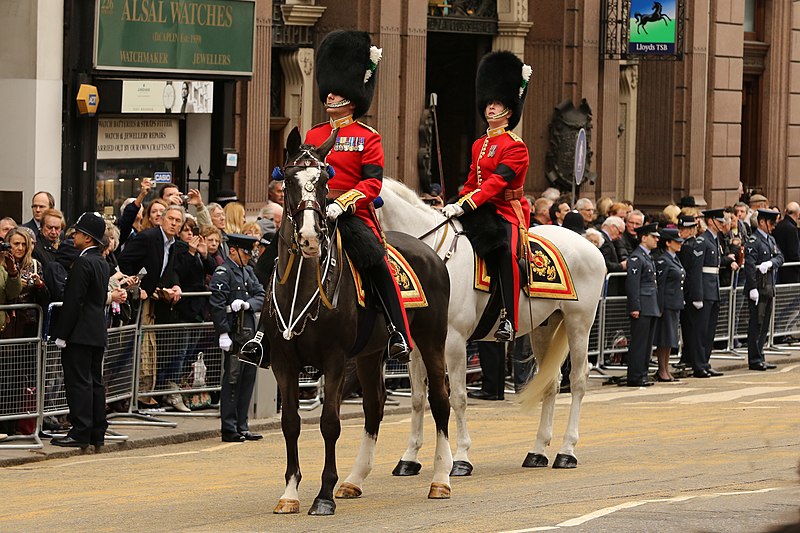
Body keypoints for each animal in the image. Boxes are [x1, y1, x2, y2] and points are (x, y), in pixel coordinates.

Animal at [260, 128, 454, 516]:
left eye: (323, 181)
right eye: (288, 178)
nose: (309, 237)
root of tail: (429, 251)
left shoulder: (335, 360)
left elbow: (329, 423)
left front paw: (323, 495)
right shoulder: (283, 362)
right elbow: (290, 423)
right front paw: (290, 492)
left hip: (430, 339)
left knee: (440, 397)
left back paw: (441, 479)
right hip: (369, 353)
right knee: (374, 405)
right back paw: (354, 479)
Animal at [378, 179, 604, 474]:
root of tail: (588, 243)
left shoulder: (454, 341)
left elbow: (458, 397)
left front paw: (461, 457)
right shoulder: (416, 344)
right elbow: (418, 398)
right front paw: (409, 458)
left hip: (579, 322)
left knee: (577, 380)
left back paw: (567, 451)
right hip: (544, 327)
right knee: (551, 383)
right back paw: (538, 451)